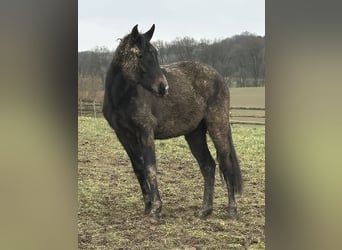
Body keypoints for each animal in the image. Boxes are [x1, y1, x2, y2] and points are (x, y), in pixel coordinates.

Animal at [102, 23, 243, 219]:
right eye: (139, 55)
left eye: (155, 54)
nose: (163, 87)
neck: (122, 99)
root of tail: (219, 77)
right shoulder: (124, 136)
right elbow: (139, 169)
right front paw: (147, 207)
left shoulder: (145, 132)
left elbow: (150, 168)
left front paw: (156, 208)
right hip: (195, 134)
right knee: (208, 166)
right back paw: (205, 210)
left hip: (217, 126)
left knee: (226, 164)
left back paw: (232, 211)